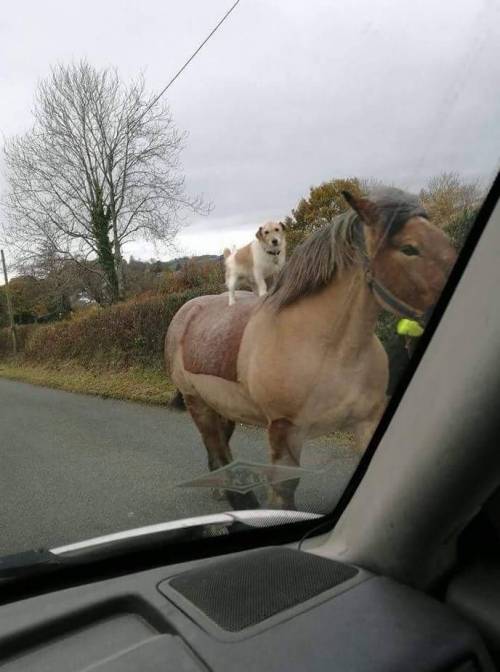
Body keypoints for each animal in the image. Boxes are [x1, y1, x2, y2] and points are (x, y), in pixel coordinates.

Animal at [165, 189, 458, 510]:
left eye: (443, 238)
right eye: (409, 248)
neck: (327, 349)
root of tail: (187, 311)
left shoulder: (367, 420)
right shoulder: (284, 430)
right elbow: (284, 490)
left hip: (221, 405)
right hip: (198, 403)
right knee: (216, 445)